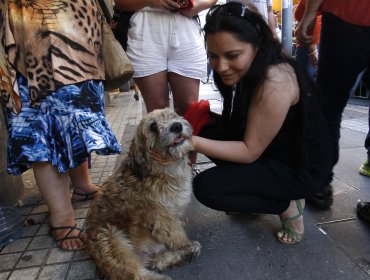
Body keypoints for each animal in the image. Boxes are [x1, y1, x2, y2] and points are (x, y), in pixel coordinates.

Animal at [86, 108, 201, 278]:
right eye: (153, 126)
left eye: (172, 114)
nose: (176, 126)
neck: (159, 168)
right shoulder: (161, 215)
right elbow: (176, 234)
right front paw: (184, 243)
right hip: (110, 238)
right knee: (137, 274)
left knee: (157, 262)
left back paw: (185, 253)